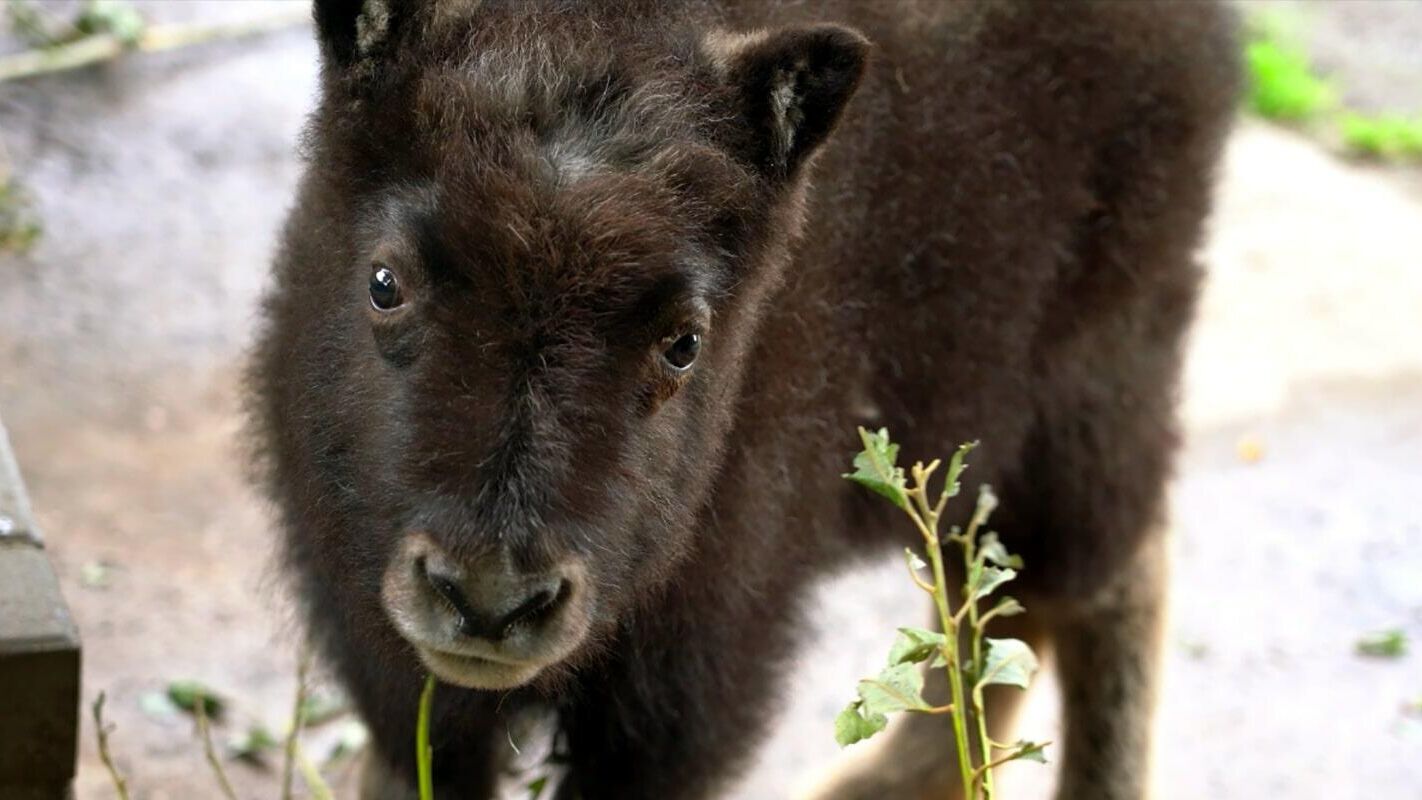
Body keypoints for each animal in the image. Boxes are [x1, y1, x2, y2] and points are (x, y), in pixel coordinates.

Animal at [250, 1, 1239, 800]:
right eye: (385, 281)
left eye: (685, 340)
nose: (491, 601)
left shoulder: (685, 693)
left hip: (1088, 387)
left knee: (1092, 578)